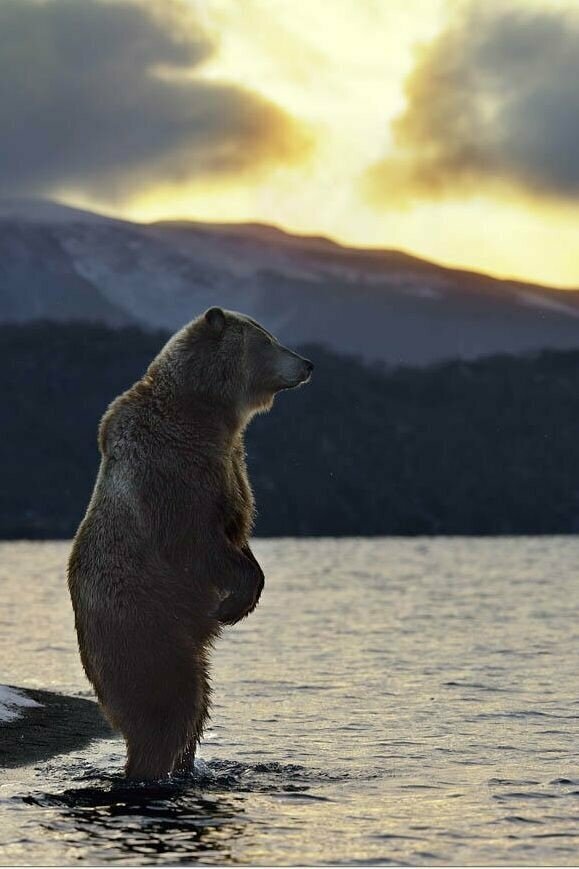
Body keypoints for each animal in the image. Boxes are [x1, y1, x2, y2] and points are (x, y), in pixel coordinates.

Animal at [67, 307, 312, 780]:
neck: (206, 411)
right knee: (170, 705)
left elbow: (238, 528)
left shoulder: (229, 461)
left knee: (195, 705)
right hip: (145, 629)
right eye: (267, 341)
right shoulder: (173, 469)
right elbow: (196, 540)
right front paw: (234, 603)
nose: (307, 364)